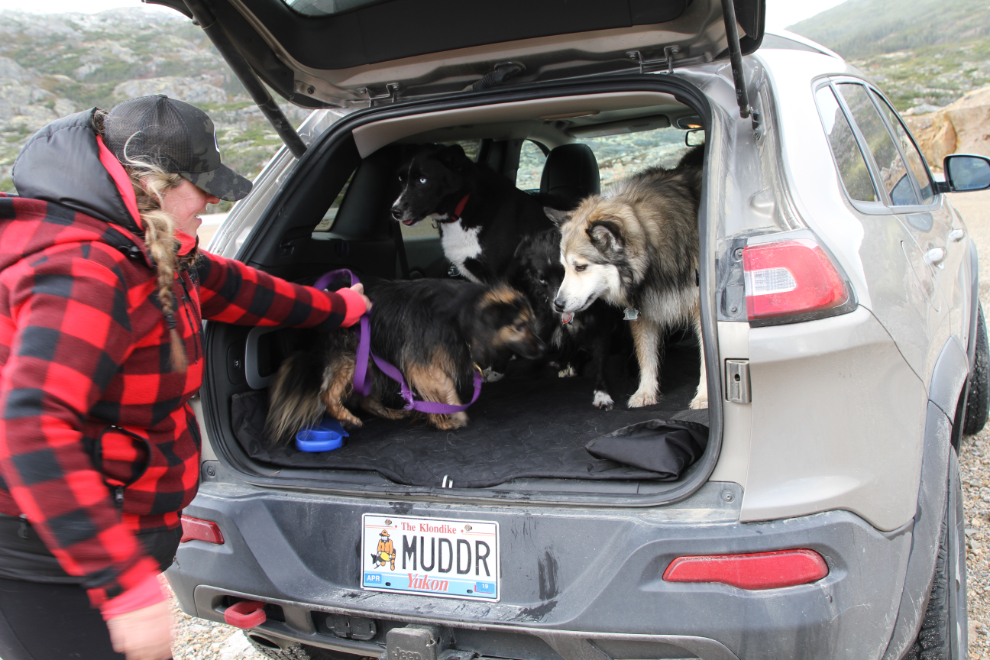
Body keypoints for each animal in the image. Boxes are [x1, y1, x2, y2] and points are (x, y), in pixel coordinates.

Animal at [268, 278, 548, 438]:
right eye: (519, 326)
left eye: (531, 323)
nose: (544, 348)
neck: (462, 315)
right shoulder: (422, 362)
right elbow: (444, 385)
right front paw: (451, 415)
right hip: (353, 356)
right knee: (327, 394)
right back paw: (346, 416)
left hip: (372, 360)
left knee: (367, 400)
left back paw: (390, 412)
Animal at [512, 229, 628, 410]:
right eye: (542, 279)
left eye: (568, 273)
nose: (558, 306)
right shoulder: (547, 320)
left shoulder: (601, 328)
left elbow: (600, 361)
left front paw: (602, 393)